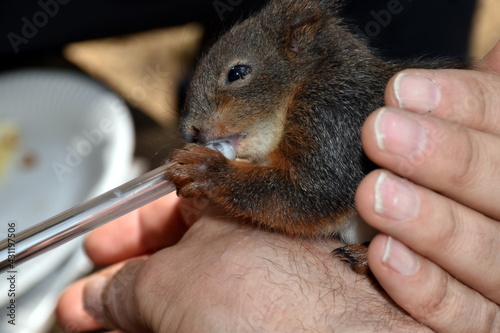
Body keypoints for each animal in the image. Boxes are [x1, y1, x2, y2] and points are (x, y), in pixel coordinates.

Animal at [166, 0, 466, 272]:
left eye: (237, 72)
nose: (190, 132)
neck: (306, 81)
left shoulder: (334, 121)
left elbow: (311, 193)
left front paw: (205, 169)